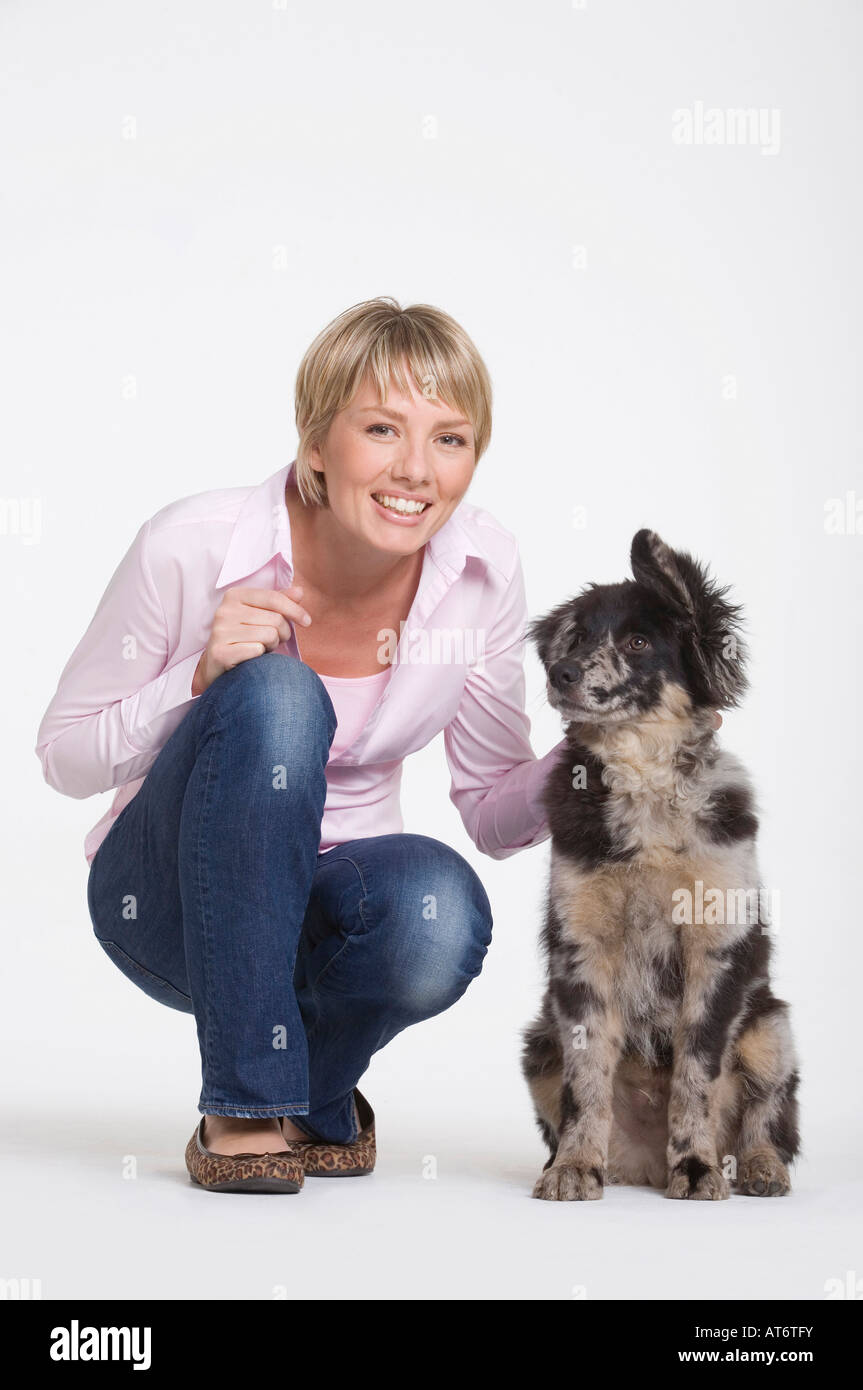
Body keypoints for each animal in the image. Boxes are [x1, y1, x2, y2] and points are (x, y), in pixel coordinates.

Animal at [522, 525, 794, 1200]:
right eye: (578, 637)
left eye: (639, 642)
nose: (562, 673)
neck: (643, 779)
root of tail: (642, 1164)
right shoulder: (581, 948)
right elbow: (586, 1078)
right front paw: (574, 1167)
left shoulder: (716, 949)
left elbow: (697, 1075)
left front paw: (695, 1167)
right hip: (538, 1040)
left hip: (772, 1026)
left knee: (769, 1117)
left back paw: (757, 1167)